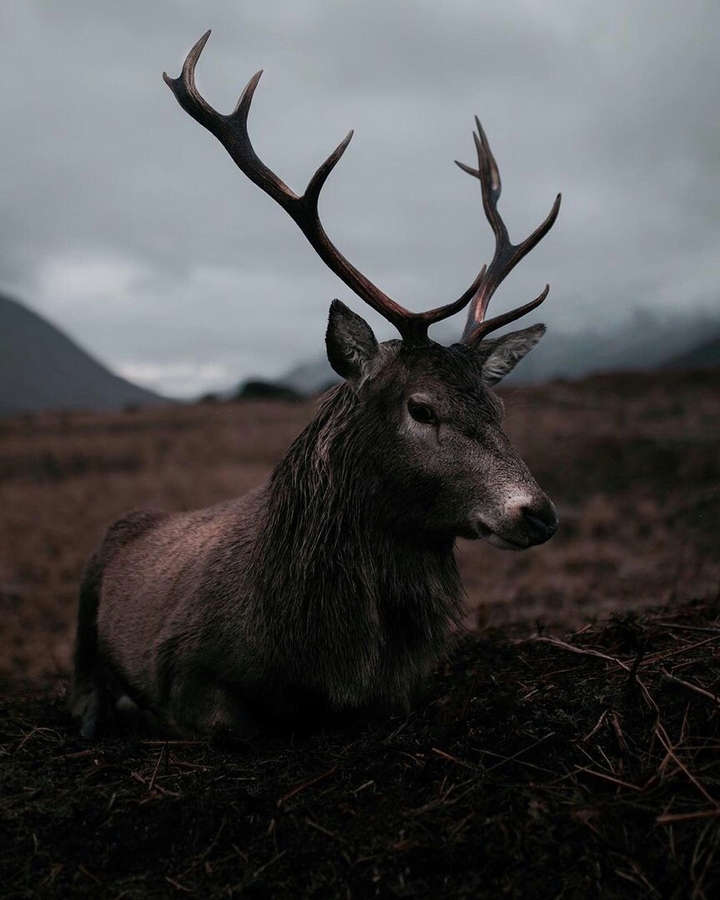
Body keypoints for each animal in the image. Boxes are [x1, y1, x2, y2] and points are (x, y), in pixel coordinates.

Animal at [69, 31, 562, 739]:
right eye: (421, 408)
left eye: (497, 404)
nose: (539, 512)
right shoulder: (186, 672)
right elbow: (232, 721)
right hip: (85, 590)